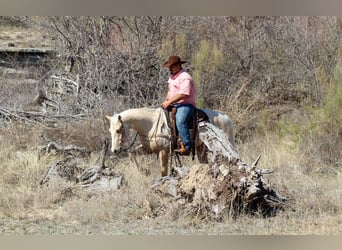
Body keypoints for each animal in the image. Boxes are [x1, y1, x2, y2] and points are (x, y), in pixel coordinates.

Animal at [106, 107, 235, 176]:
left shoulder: (164, 151)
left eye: (118, 130)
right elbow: (131, 153)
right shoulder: (148, 149)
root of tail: (227, 118)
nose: (114, 150)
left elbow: (163, 171)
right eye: (110, 130)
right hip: (201, 148)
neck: (151, 124)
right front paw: (144, 171)